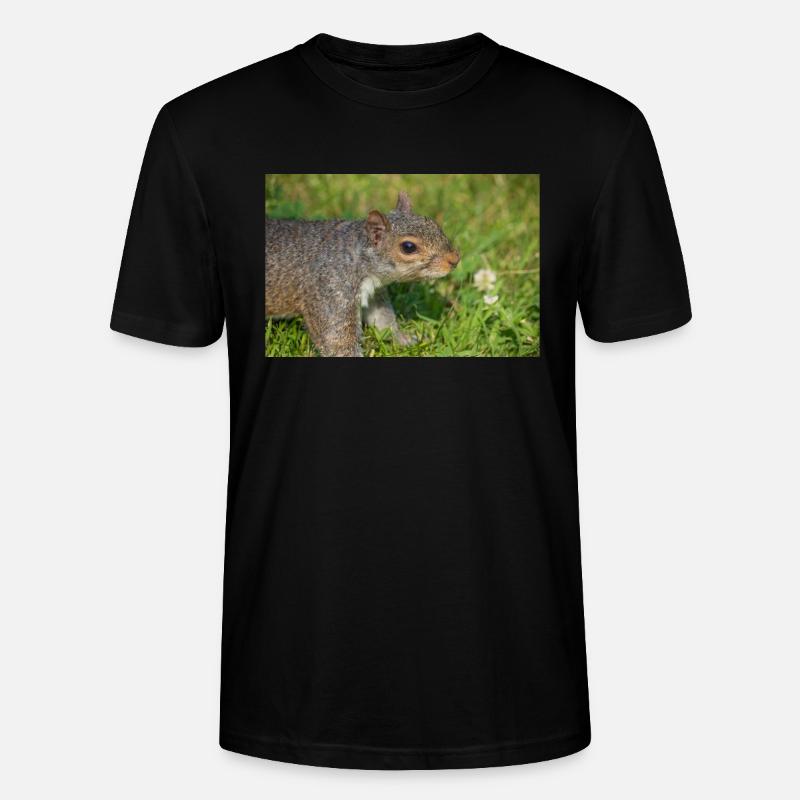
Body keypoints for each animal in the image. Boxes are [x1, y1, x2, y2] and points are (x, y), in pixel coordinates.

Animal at [265, 191, 460, 356]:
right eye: (408, 247)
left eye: (434, 224)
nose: (455, 259)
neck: (356, 257)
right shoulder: (329, 291)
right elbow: (337, 342)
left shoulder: (374, 293)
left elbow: (382, 319)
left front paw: (405, 339)